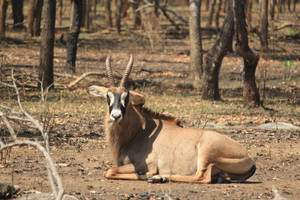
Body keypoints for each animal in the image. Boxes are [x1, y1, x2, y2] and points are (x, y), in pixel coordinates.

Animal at [89, 55, 255, 184]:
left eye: (127, 96)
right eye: (108, 95)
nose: (116, 115)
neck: (139, 132)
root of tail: (248, 157)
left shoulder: (146, 163)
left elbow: (110, 171)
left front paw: (149, 175)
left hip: (206, 154)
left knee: (201, 177)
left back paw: (158, 177)